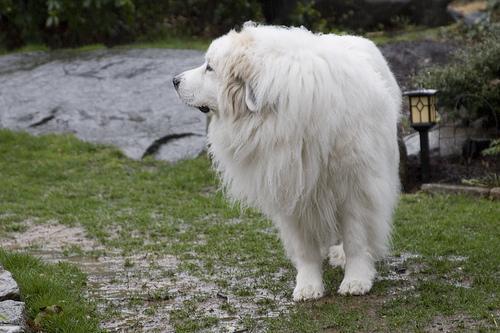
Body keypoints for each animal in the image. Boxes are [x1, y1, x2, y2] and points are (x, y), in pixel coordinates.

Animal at [174, 22, 400, 300]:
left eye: (210, 67)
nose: (175, 80)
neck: (278, 115)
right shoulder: (289, 187)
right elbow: (305, 248)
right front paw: (308, 286)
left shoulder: (356, 187)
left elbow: (356, 239)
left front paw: (355, 280)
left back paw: (340, 255)